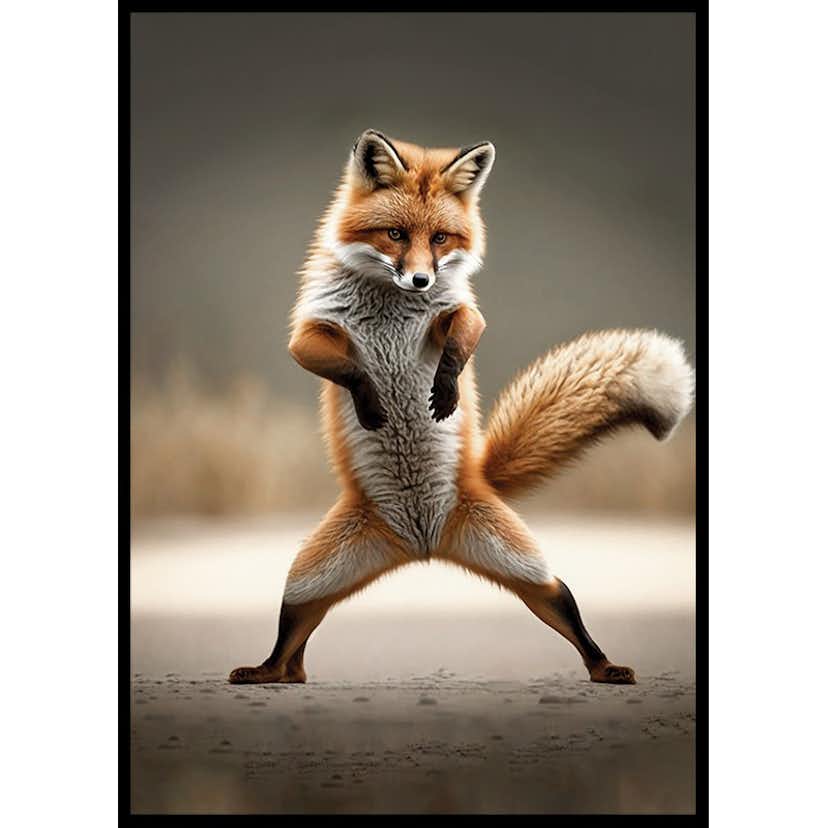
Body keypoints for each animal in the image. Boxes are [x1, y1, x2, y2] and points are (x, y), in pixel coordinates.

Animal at [229, 129, 694, 686]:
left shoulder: (458, 310)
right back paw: (271, 672)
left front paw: (446, 389)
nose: (420, 282)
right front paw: (373, 401)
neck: (390, 306)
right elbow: (347, 368)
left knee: (562, 599)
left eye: (440, 239)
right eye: (395, 234)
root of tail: (422, 545)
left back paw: (605, 667)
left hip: (522, 567)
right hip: (310, 580)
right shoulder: (311, 330)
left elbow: (463, 337)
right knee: (293, 634)